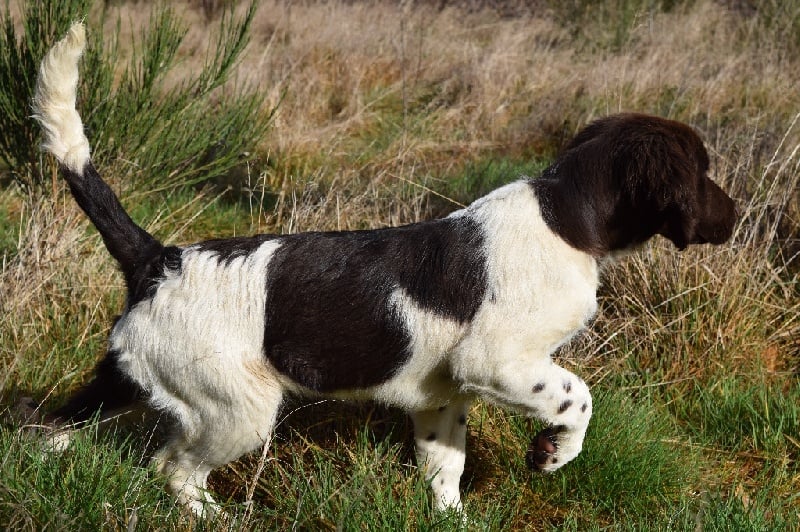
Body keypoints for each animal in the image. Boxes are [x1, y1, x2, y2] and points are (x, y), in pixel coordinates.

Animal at [31, 22, 736, 516]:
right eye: (702, 171)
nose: (734, 217)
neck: (564, 216)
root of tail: (159, 258)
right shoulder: (496, 360)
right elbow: (578, 397)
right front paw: (554, 454)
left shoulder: (444, 394)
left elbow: (444, 471)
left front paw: (452, 518)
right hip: (235, 408)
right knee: (174, 468)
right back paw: (217, 518)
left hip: (133, 373)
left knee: (54, 424)